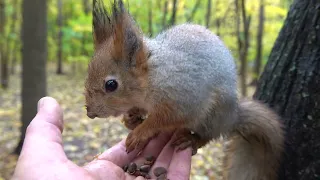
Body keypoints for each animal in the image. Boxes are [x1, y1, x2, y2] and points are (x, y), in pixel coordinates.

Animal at [84, 0, 284, 179]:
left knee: (208, 136)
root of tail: (231, 117)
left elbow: (165, 118)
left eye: (111, 85)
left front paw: (140, 132)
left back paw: (191, 139)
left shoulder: (182, 98)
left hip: (212, 116)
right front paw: (130, 119)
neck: (153, 77)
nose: (90, 113)